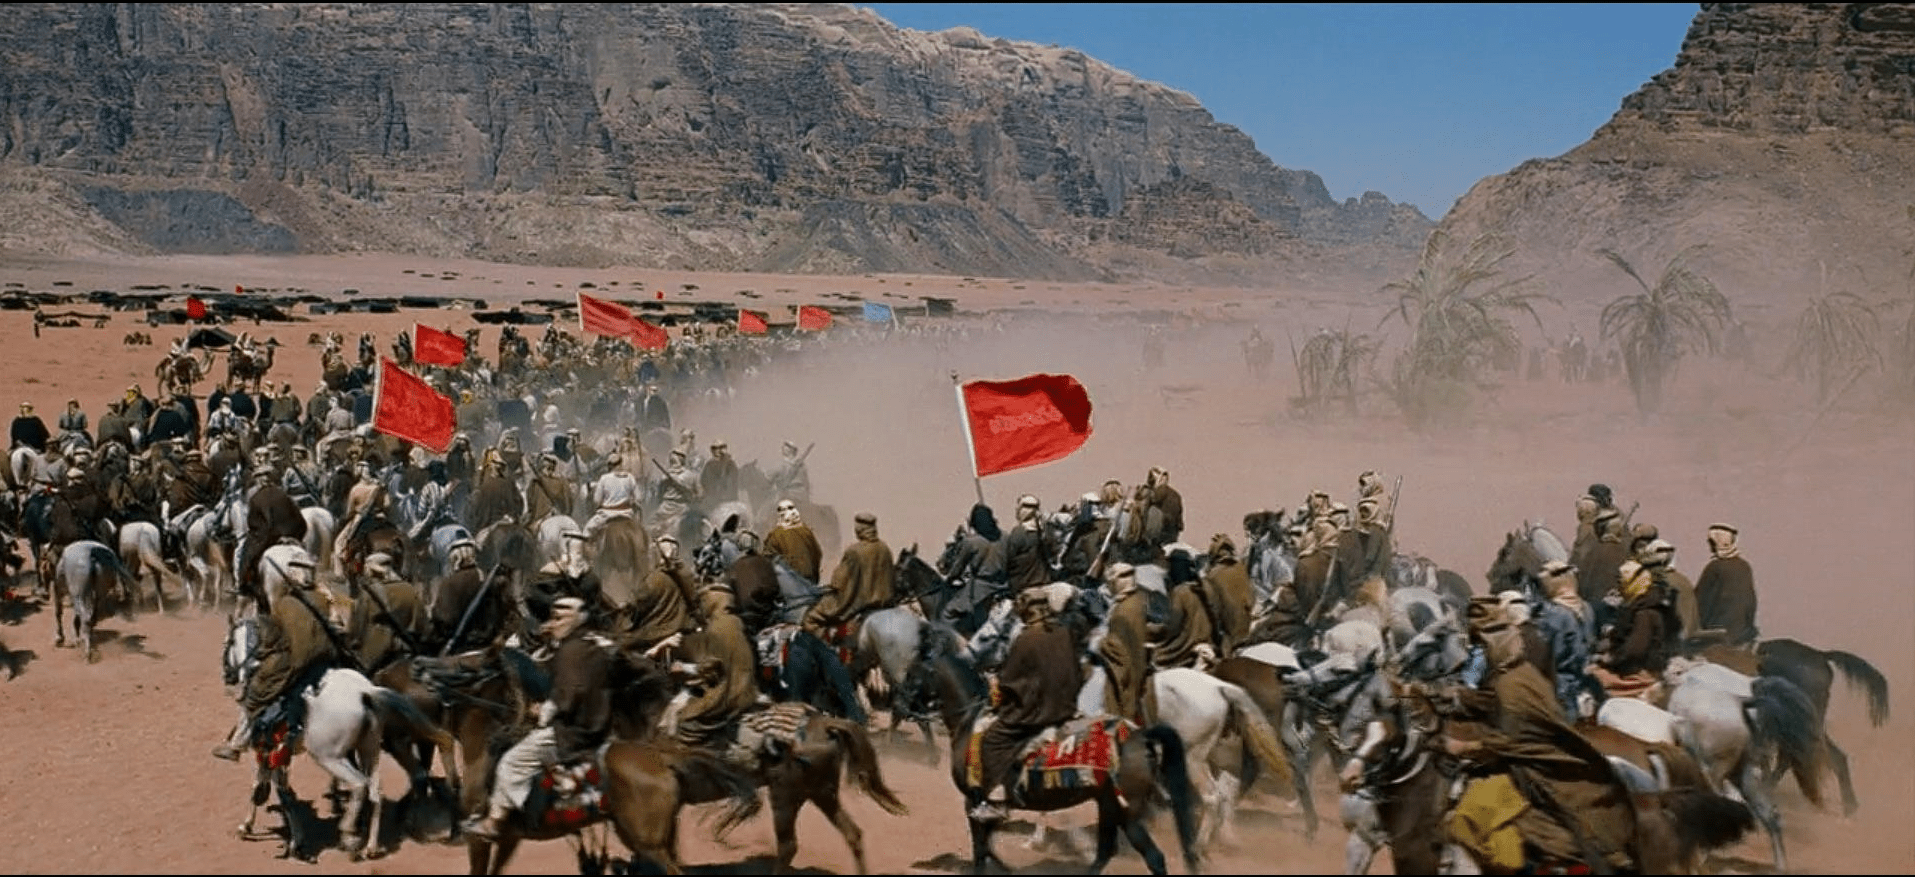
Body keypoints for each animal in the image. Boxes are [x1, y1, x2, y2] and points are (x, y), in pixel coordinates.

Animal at [904, 633, 1202, 876]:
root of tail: (1140, 735)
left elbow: (981, 852)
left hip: (1128, 812)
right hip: (1108, 804)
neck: (969, 722)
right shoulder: (986, 806)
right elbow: (988, 849)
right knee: (1105, 853)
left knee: (1153, 858)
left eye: (914, 671)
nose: (901, 703)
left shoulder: (974, 802)